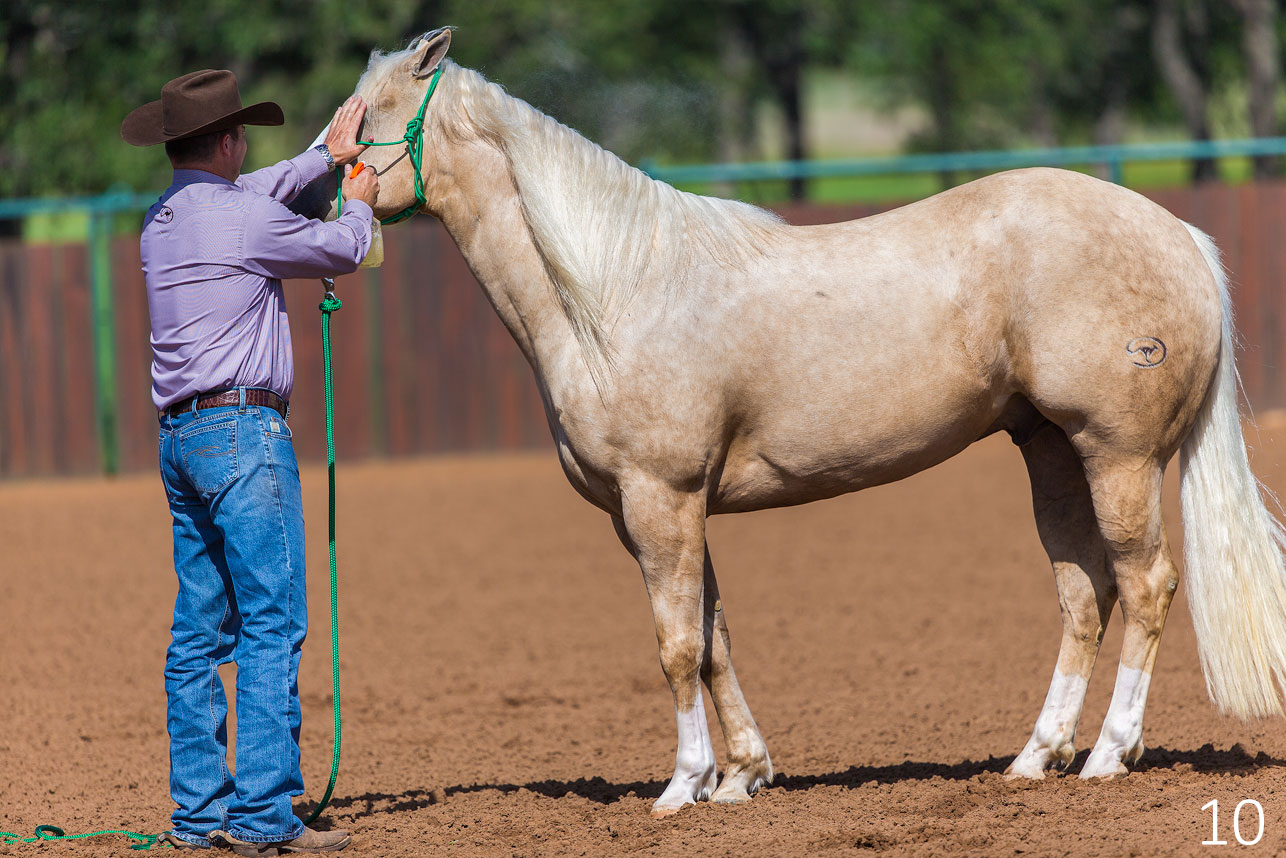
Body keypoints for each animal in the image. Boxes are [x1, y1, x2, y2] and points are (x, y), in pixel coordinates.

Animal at [293, 28, 1286, 818]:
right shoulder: (664, 513)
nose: (301, 200)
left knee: (1148, 585)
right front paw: (741, 777)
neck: (616, 292)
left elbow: (676, 645)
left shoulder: (661, 501)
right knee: (1087, 595)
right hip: (1051, 453)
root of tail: (1180, 237)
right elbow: (716, 638)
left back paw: (1110, 756)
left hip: (1117, 456)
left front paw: (682, 785)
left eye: (363, 115)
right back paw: (1036, 757)